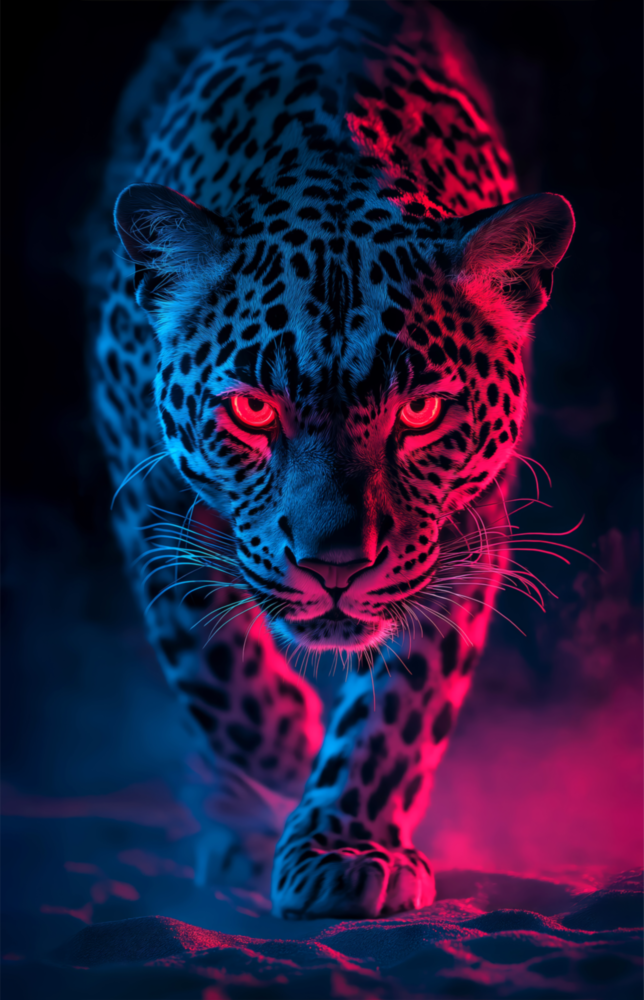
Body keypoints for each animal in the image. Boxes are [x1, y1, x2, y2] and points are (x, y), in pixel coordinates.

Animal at [87, 0, 574, 919]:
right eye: (252, 409)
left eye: (420, 412)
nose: (336, 565)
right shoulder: (148, 490)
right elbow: (207, 657)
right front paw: (285, 748)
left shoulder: (465, 535)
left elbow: (401, 707)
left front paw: (344, 848)